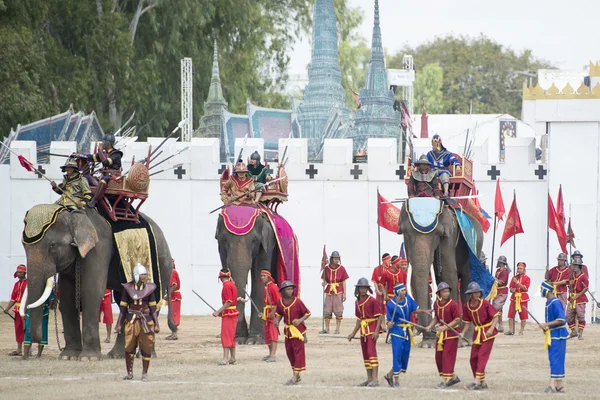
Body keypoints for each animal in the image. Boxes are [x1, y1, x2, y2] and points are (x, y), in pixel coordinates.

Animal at [21, 205, 176, 360]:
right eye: (23, 245)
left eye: (52, 245)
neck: (71, 210)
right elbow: (67, 297)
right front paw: (68, 356)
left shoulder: (99, 248)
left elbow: (92, 291)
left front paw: (88, 358)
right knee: (124, 301)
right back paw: (118, 355)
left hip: (161, 266)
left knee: (151, 303)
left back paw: (145, 355)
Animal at [214, 209, 278, 344]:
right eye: (225, 240)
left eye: (254, 240)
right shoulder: (221, 250)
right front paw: (239, 339)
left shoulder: (268, 242)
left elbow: (260, 273)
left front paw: (255, 341)